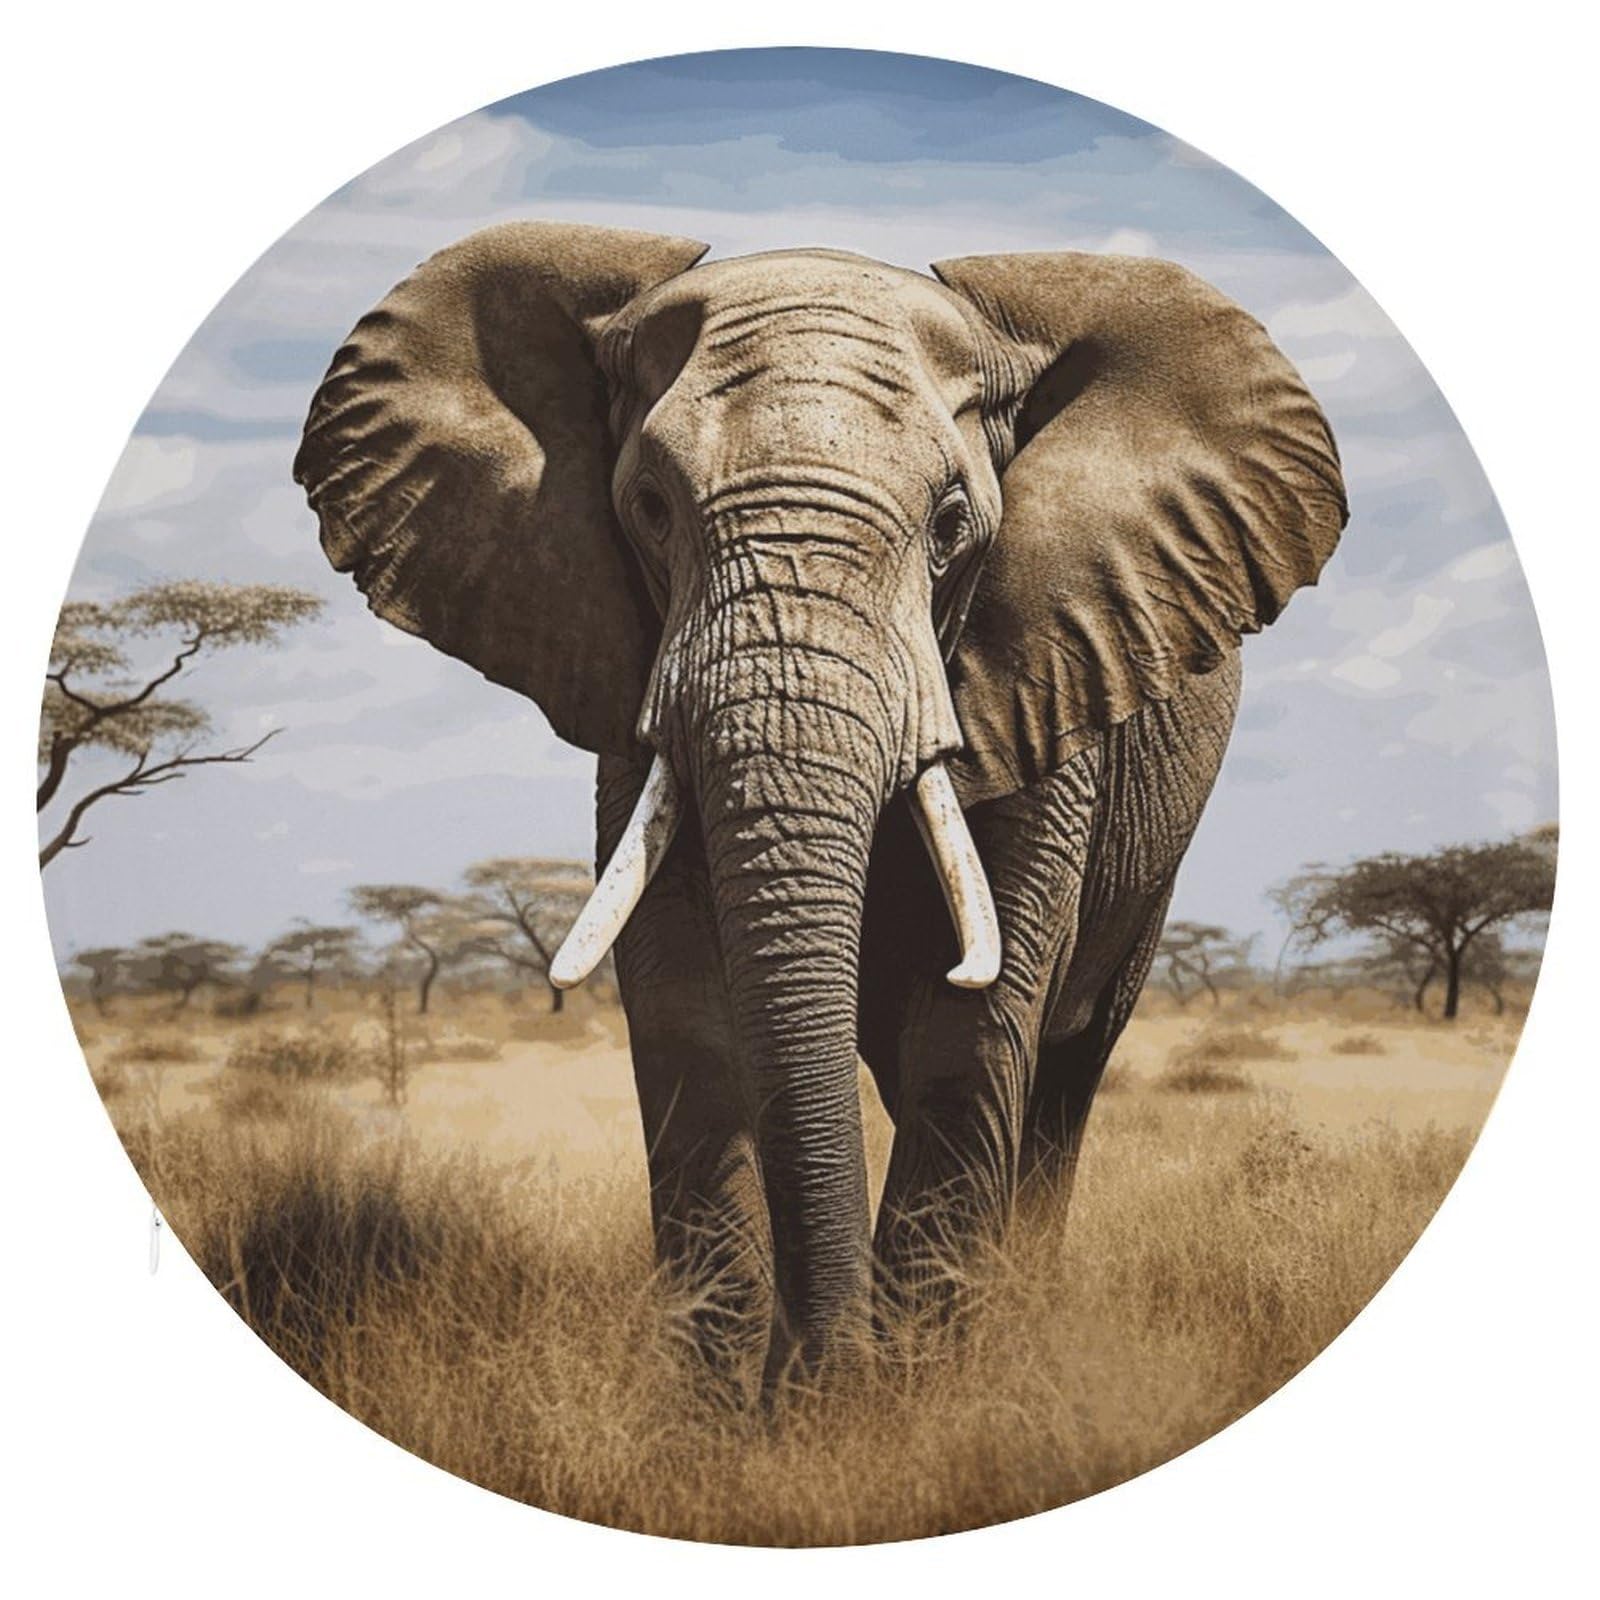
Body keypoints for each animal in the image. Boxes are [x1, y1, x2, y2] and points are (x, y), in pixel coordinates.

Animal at [294, 222, 1346, 1395]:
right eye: (650, 509)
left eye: (951, 525)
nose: (825, 1373)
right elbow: (685, 1011)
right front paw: (731, 1417)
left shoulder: (1049, 667)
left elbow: (968, 1027)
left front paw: (904, 1409)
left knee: (1066, 1074)